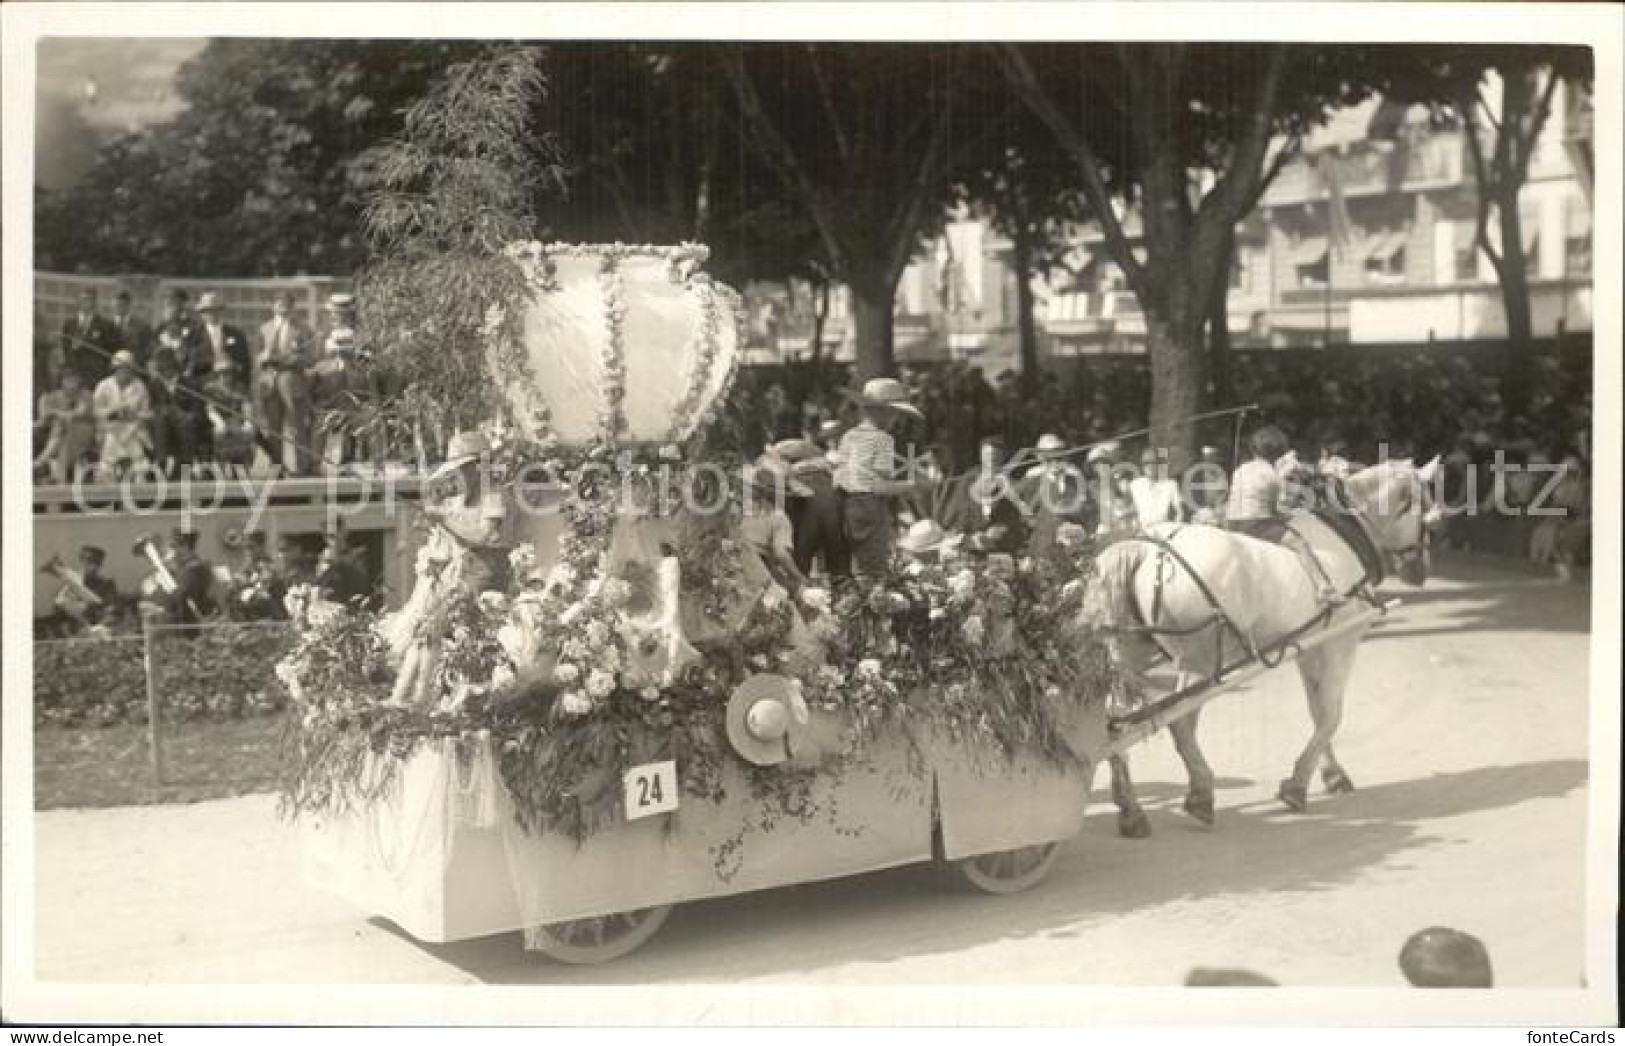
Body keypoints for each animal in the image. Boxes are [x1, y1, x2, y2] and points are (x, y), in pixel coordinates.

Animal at [1085, 458, 1443, 831]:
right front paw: (1298, 784)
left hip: (1130, 654)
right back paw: (1200, 793)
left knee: (1116, 723)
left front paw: (1330, 773)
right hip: (1200, 660)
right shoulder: (1340, 642)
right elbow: (1331, 715)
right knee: (1178, 722)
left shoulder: (1310, 647)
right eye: (1428, 511)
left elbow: (1317, 711)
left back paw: (1131, 808)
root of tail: (1147, 549)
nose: (1421, 569)